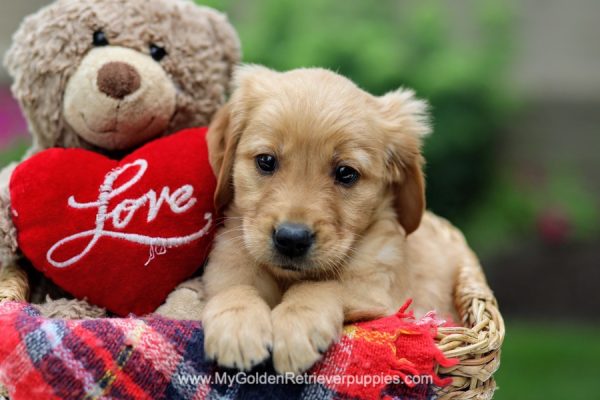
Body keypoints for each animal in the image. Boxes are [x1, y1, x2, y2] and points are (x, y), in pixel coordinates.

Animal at [202, 65, 464, 376]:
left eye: (346, 173)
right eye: (266, 161)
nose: (291, 239)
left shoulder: (378, 293)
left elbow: (322, 286)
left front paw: (296, 324)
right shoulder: (228, 257)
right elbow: (235, 285)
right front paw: (237, 324)